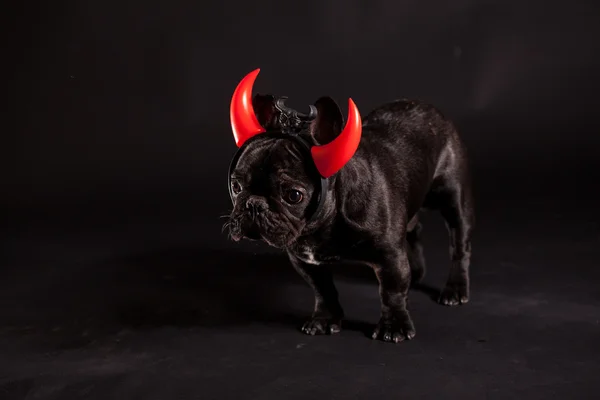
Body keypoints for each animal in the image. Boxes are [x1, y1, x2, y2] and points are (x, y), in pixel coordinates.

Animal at [225, 69, 474, 344]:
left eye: (293, 195)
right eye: (236, 186)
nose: (254, 204)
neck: (323, 225)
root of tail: (427, 107)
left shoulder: (390, 256)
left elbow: (392, 291)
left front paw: (395, 326)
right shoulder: (306, 260)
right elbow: (323, 290)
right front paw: (325, 319)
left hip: (454, 200)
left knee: (459, 246)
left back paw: (455, 289)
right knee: (414, 230)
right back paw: (418, 271)